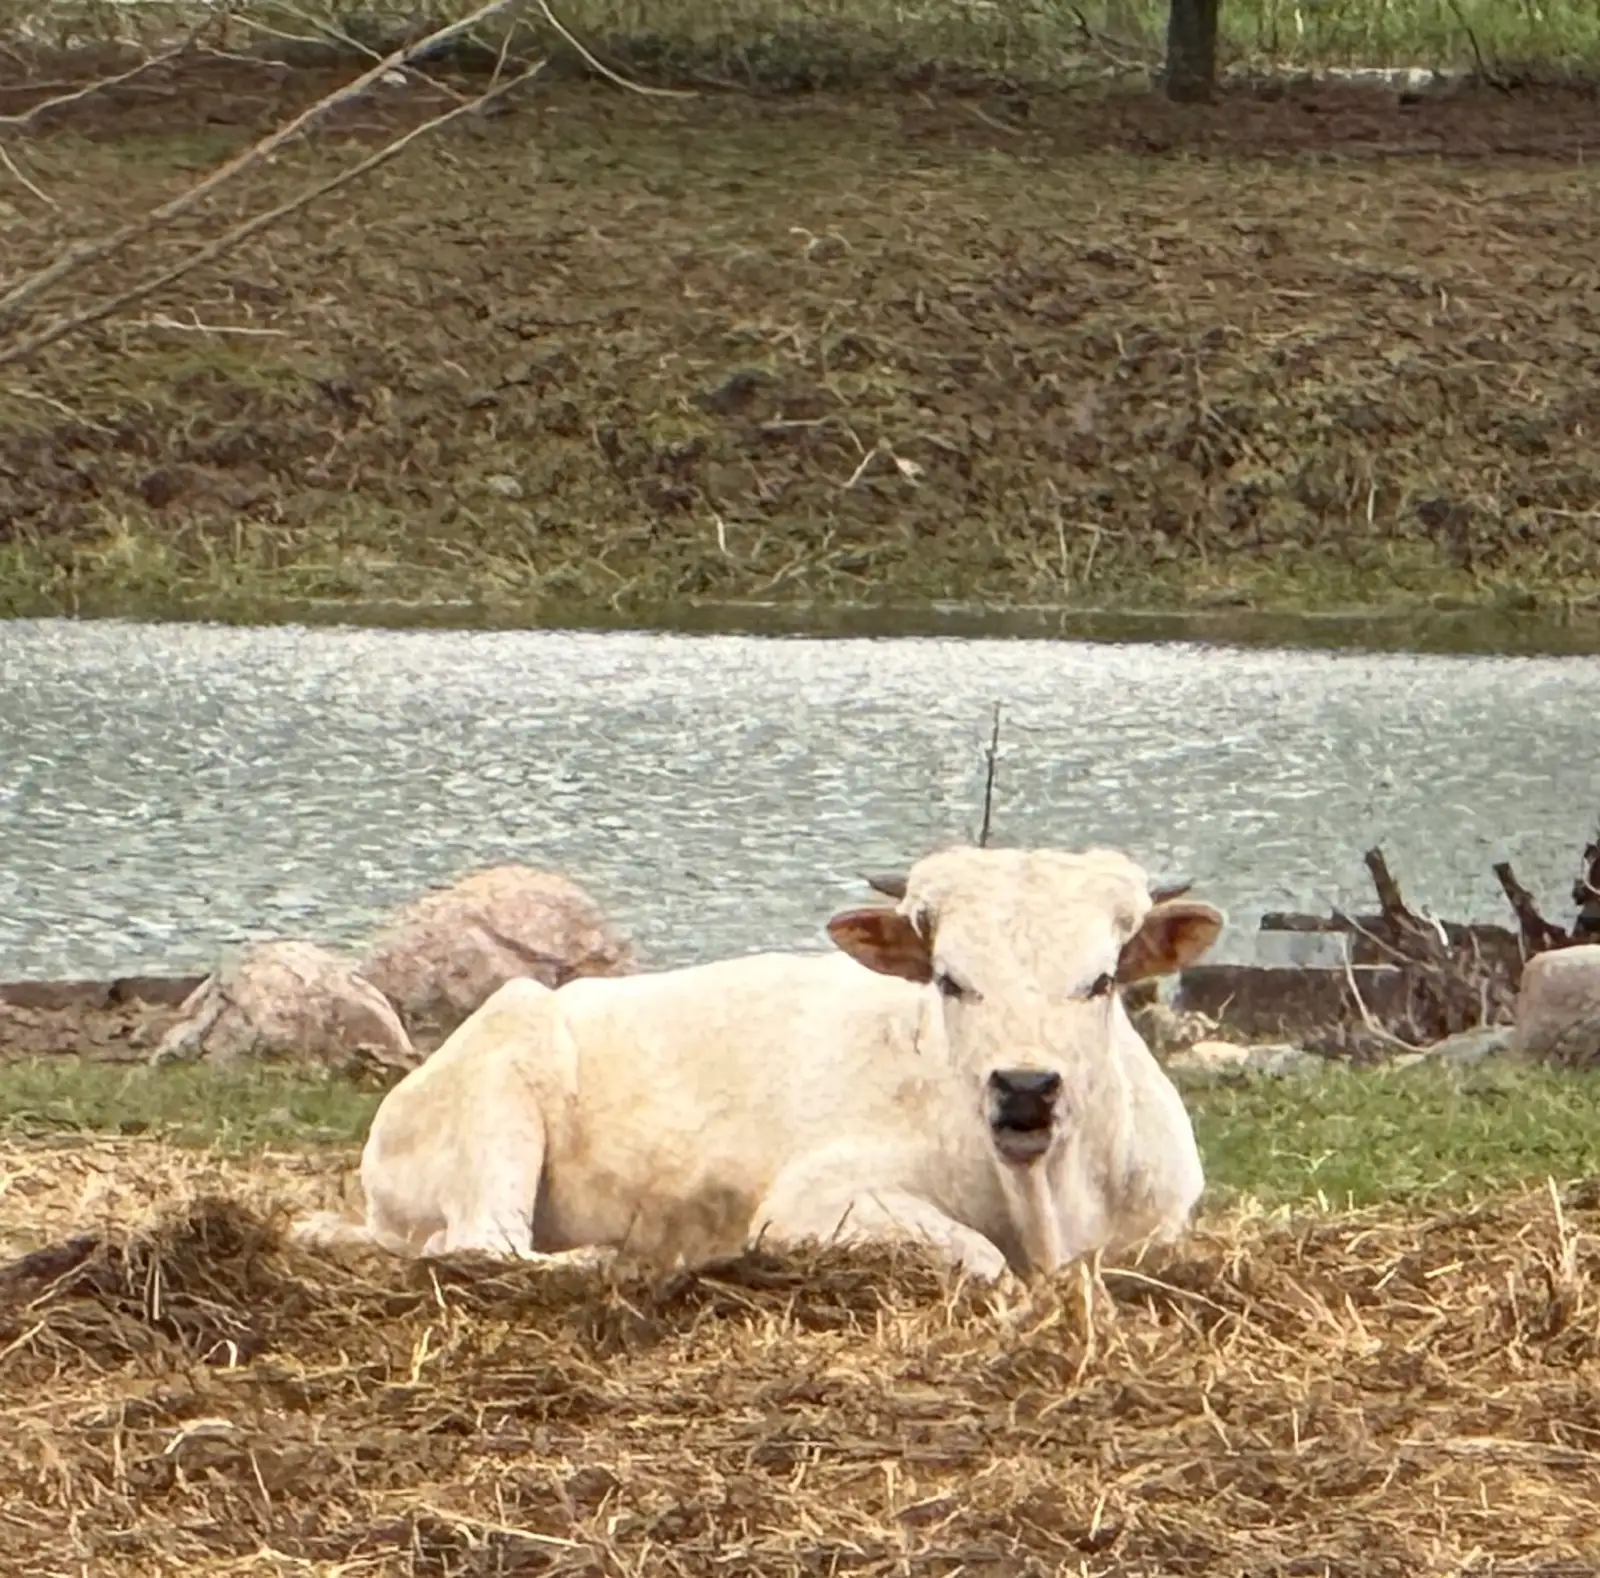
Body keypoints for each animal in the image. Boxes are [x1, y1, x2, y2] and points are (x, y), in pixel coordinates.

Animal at [291, 845, 1224, 1281]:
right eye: (951, 980)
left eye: (1100, 981)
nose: (1025, 1089)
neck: (1048, 1207)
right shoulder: (814, 1202)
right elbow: (979, 1259)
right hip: (500, 1096)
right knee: (481, 1245)